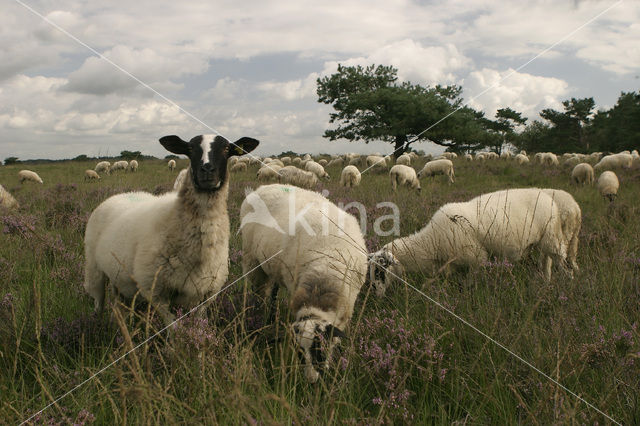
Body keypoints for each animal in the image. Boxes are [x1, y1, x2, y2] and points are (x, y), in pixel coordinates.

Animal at [82, 135, 258, 324]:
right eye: (190, 148)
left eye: (226, 148)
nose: (207, 169)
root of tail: (120, 195)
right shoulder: (156, 292)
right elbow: (173, 327)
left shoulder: (207, 294)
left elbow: (199, 322)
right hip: (94, 269)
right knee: (98, 300)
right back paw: (97, 323)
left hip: (121, 280)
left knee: (120, 304)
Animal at [239, 183, 368, 382]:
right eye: (299, 352)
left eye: (320, 349)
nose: (312, 381)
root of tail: (261, 188)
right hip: (253, 261)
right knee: (259, 292)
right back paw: (260, 314)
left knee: (272, 291)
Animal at [368, 188, 572, 294]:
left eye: (380, 271)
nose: (373, 290)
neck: (431, 242)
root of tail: (548, 197)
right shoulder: (449, 265)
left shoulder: (476, 258)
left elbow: (470, 283)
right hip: (544, 242)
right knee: (547, 262)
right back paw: (546, 282)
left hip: (552, 238)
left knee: (563, 264)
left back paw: (568, 283)